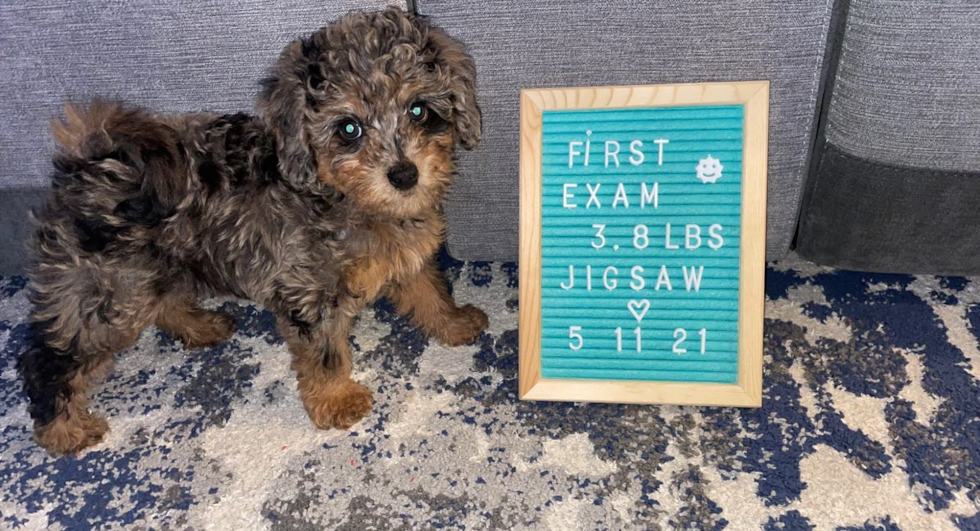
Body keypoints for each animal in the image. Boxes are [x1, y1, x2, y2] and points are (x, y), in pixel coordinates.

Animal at [17, 7, 488, 458]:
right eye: (349, 129)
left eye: (418, 109)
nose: (404, 175)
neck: (345, 199)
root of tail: (91, 164)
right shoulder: (307, 290)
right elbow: (326, 351)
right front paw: (337, 400)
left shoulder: (409, 257)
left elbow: (429, 291)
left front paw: (454, 322)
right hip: (109, 292)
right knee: (51, 358)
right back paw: (64, 430)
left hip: (154, 269)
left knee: (165, 301)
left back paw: (201, 325)